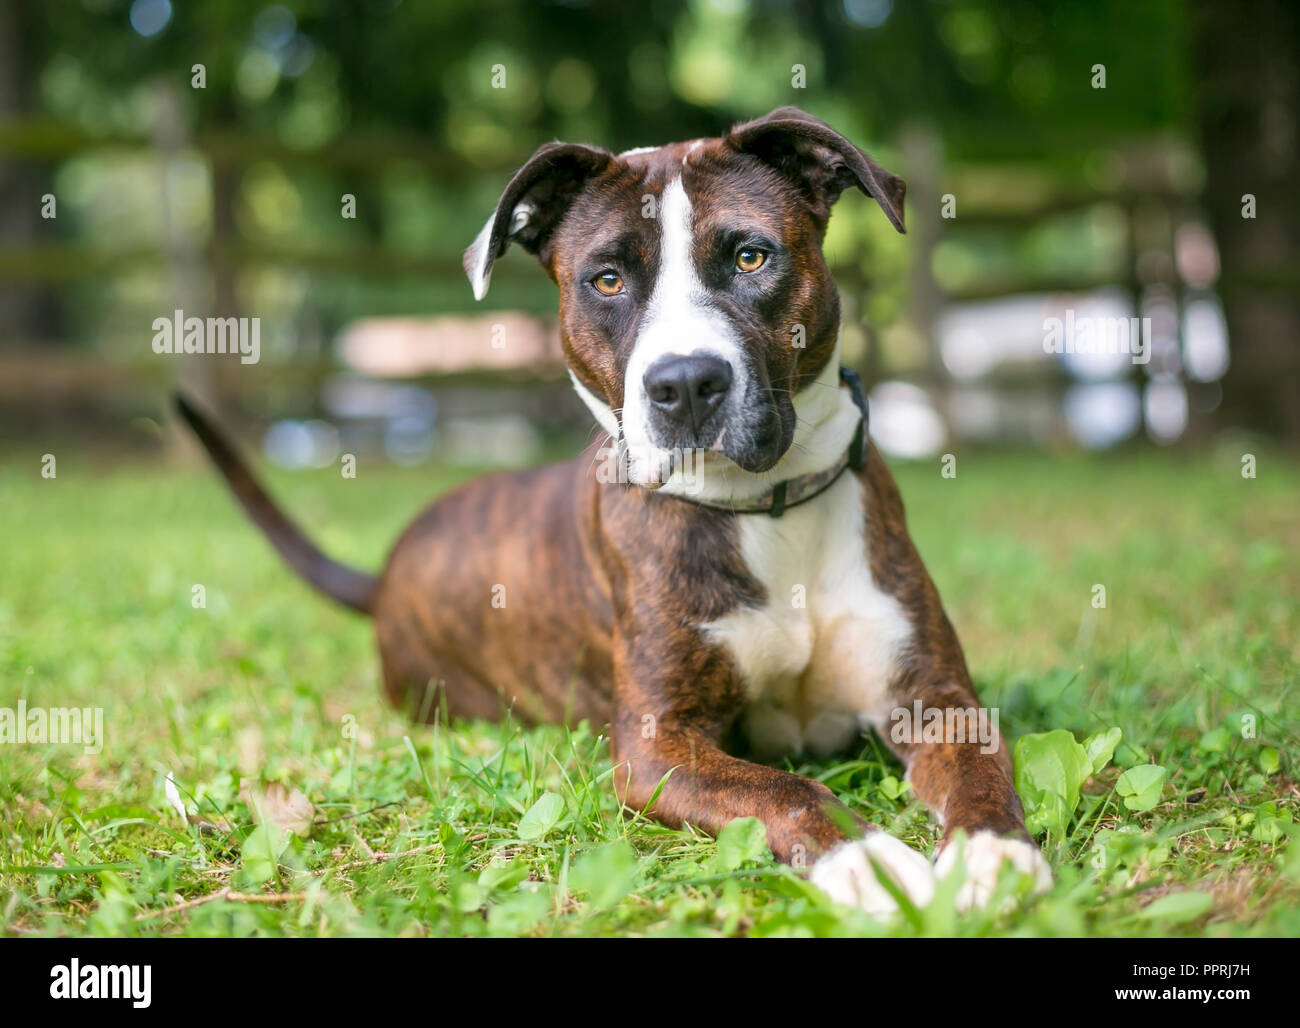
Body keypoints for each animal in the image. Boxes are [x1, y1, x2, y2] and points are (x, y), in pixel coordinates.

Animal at [180, 106, 1045, 914]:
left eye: (750, 255)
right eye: (606, 280)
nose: (686, 383)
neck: (766, 511)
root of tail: (387, 573)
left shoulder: (938, 699)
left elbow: (977, 770)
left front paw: (996, 855)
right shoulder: (657, 746)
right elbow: (785, 789)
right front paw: (870, 863)